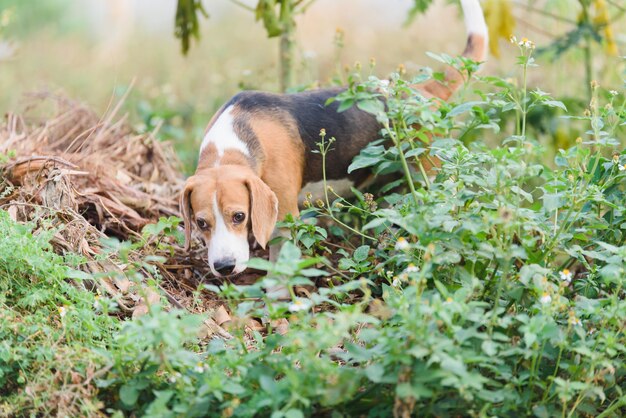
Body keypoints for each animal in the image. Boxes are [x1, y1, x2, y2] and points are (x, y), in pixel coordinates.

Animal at [180, 0, 488, 278]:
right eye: (201, 222)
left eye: (239, 216)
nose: (224, 267)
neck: (234, 140)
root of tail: (421, 91)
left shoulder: (285, 217)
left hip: (432, 178)